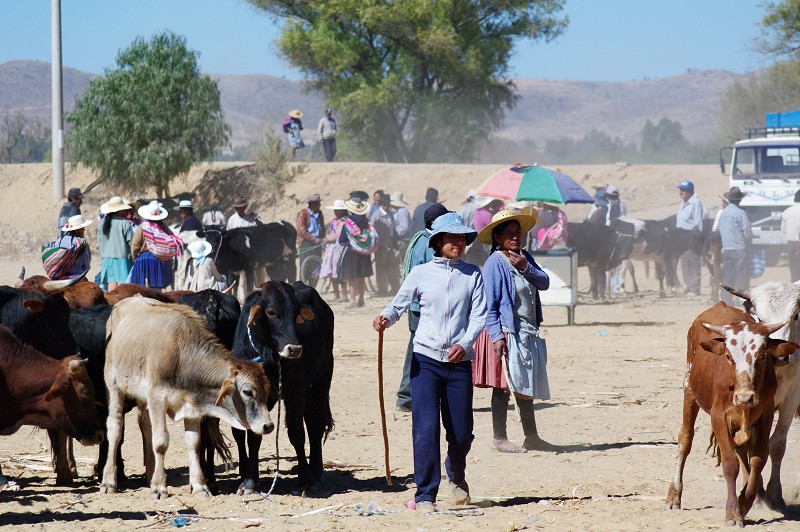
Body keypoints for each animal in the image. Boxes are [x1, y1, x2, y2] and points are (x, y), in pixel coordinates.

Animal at [99, 298, 276, 496]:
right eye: (247, 392)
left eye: (267, 390)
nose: (268, 426)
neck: (181, 354)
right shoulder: (157, 398)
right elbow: (161, 442)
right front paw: (159, 486)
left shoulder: (191, 405)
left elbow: (194, 444)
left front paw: (199, 486)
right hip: (114, 386)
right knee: (115, 428)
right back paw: (109, 480)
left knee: (145, 425)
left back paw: (151, 474)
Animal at [228, 282, 334, 494]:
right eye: (271, 312)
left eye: (296, 313)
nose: (295, 349)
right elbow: (254, 436)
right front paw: (249, 481)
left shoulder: (296, 391)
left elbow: (297, 433)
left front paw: (306, 479)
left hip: (321, 383)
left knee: (314, 426)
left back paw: (316, 472)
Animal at [664, 302, 800, 524]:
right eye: (728, 356)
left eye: (763, 356)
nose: (745, 398)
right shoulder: (718, 416)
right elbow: (730, 463)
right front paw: (733, 512)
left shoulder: (765, 415)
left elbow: (758, 458)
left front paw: (744, 503)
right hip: (689, 389)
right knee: (685, 439)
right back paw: (674, 495)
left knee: (744, 450)